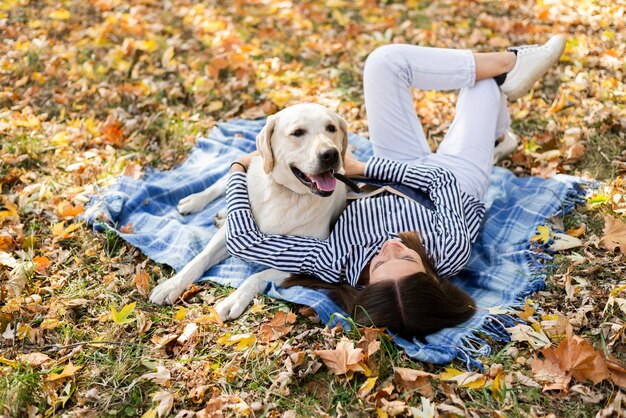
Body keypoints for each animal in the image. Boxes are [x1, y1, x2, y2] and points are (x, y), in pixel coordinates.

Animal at [149, 104, 348, 320]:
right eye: (297, 133)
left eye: (331, 128)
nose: (330, 154)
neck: (286, 194)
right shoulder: (232, 236)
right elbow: (200, 258)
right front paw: (172, 285)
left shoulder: (309, 262)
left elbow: (255, 277)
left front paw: (233, 300)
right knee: (222, 183)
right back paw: (195, 201)